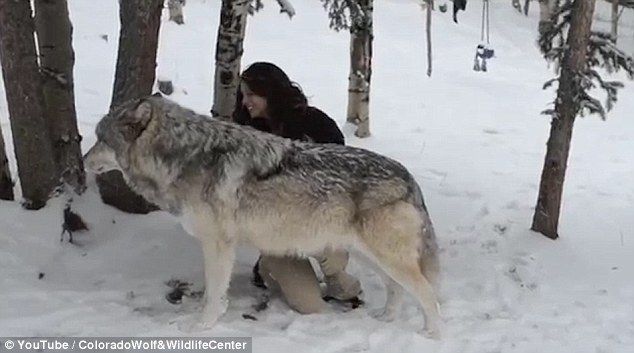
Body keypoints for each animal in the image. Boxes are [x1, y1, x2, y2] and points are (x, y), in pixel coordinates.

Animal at [82, 95, 440, 336]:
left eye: (101, 139)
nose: (83, 160)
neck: (185, 156)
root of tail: (409, 178)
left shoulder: (217, 245)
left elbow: (213, 294)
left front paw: (201, 327)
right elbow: (215, 293)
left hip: (387, 259)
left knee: (427, 295)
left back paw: (431, 335)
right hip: (373, 257)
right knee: (397, 290)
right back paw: (385, 320)